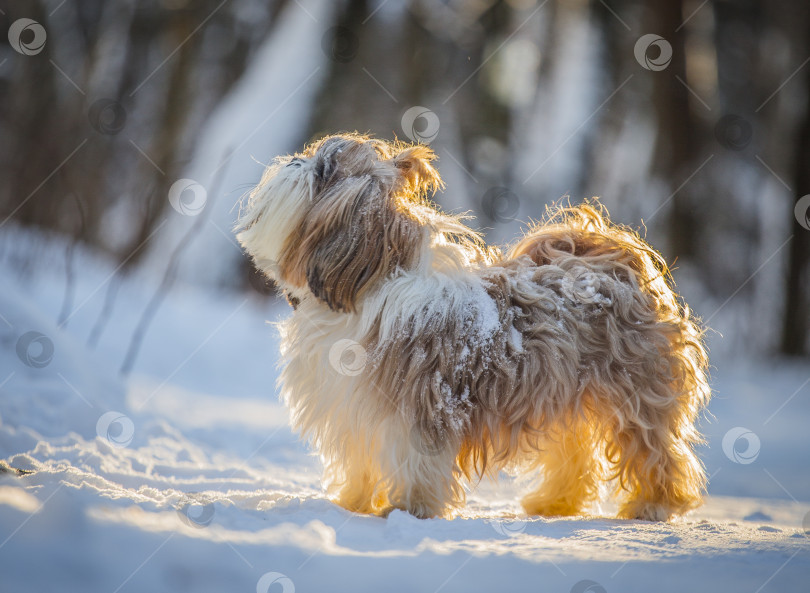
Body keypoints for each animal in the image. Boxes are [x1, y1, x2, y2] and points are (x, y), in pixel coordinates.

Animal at [237, 133, 712, 520]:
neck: (367, 287)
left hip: (636, 395)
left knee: (656, 451)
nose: (292, 159)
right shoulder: (356, 411)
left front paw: (409, 511)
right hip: (565, 396)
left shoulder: (420, 407)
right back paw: (554, 503)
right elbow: (361, 461)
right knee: (575, 456)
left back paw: (653, 505)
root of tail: (614, 258)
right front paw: (354, 503)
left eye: (322, 169)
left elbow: (417, 463)